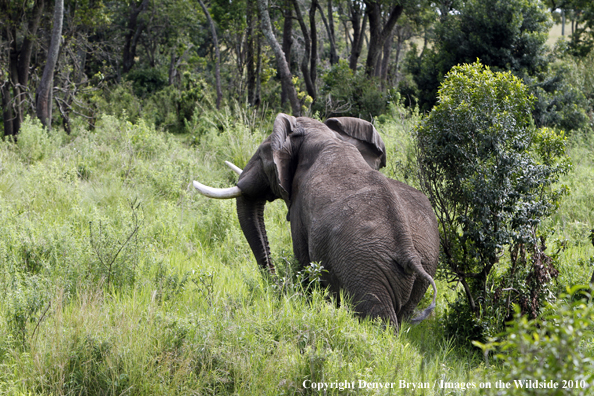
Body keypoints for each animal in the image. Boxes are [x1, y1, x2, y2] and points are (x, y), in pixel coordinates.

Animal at [192, 114, 438, 332]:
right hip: (420, 271)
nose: (275, 281)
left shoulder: (300, 208)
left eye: (263, 155)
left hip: (367, 269)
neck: (325, 136)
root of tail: (408, 252)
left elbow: (303, 259)